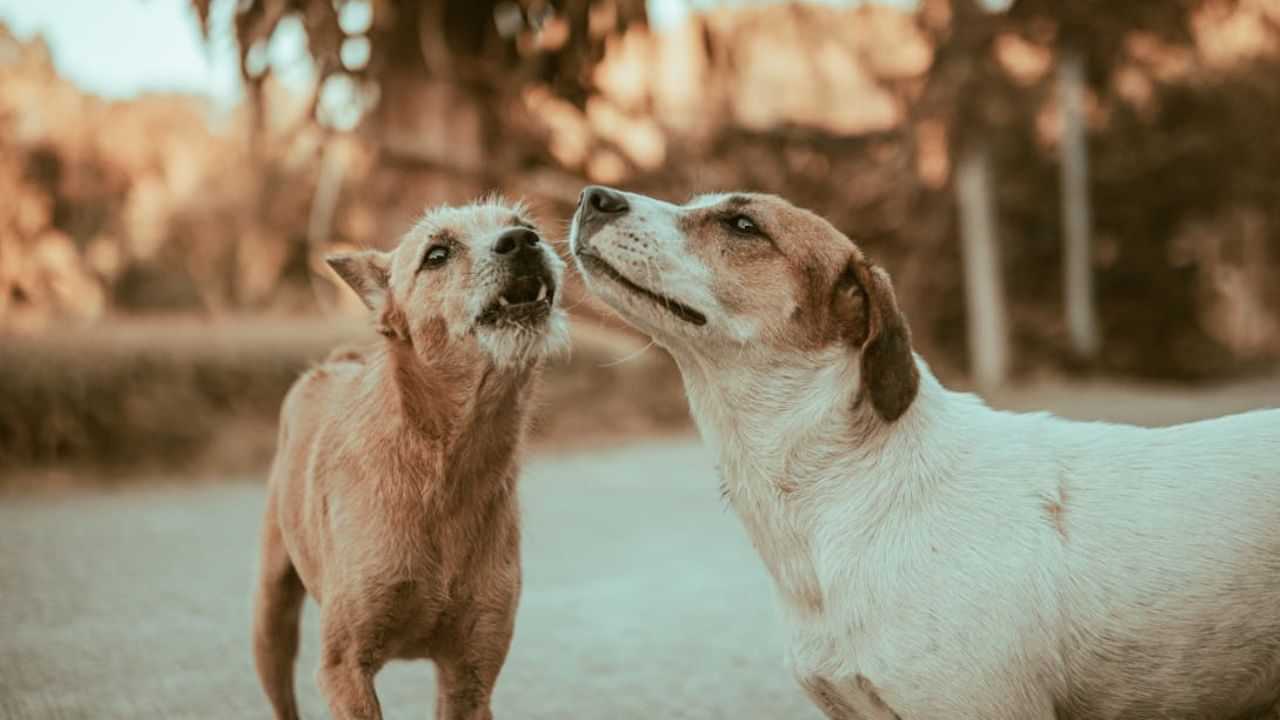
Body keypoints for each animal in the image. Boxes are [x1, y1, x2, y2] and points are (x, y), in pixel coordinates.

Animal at [252, 197, 568, 717]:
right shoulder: (344, 668)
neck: (444, 466)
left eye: (525, 225)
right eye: (436, 254)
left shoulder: (470, 677)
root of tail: (336, 361)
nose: (523, 242)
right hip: (271, 618)